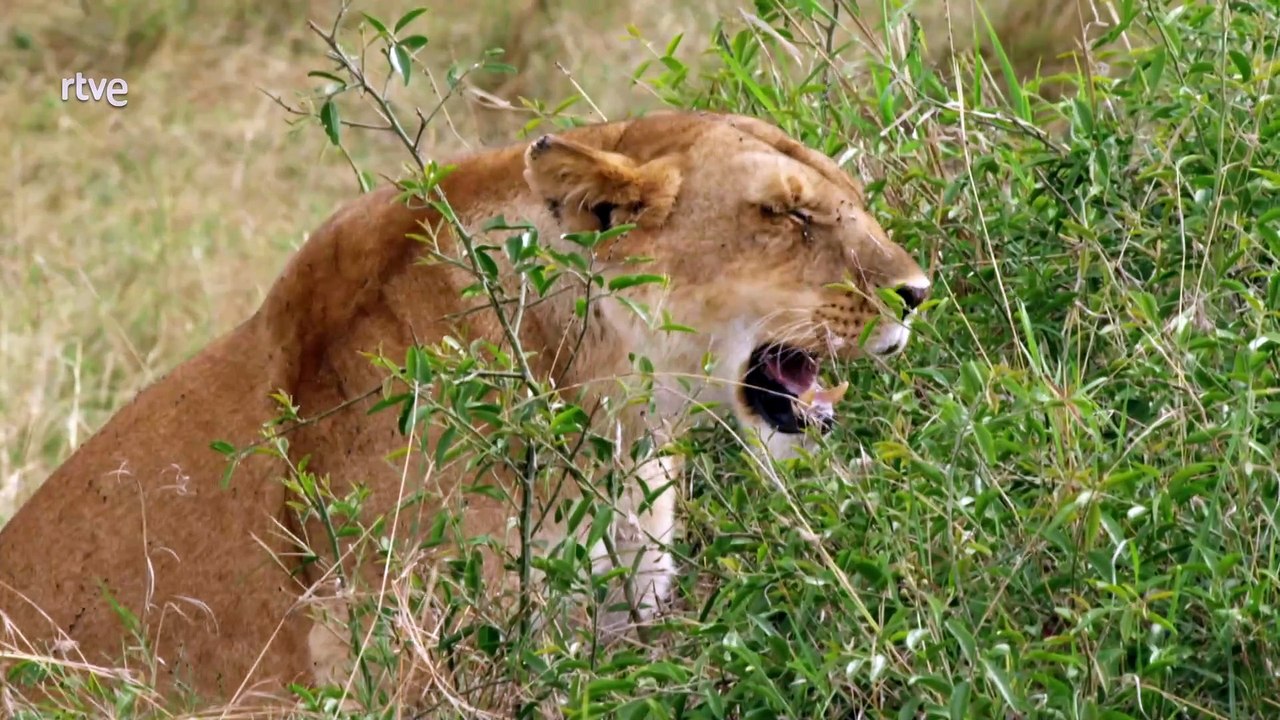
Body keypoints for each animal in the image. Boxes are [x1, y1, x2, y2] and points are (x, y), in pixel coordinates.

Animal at [0, 111, 929, 709]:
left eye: (850, 199)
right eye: (788, 214)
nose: (918, 293)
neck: (614, 419)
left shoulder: (621, 621)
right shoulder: (403, 654)